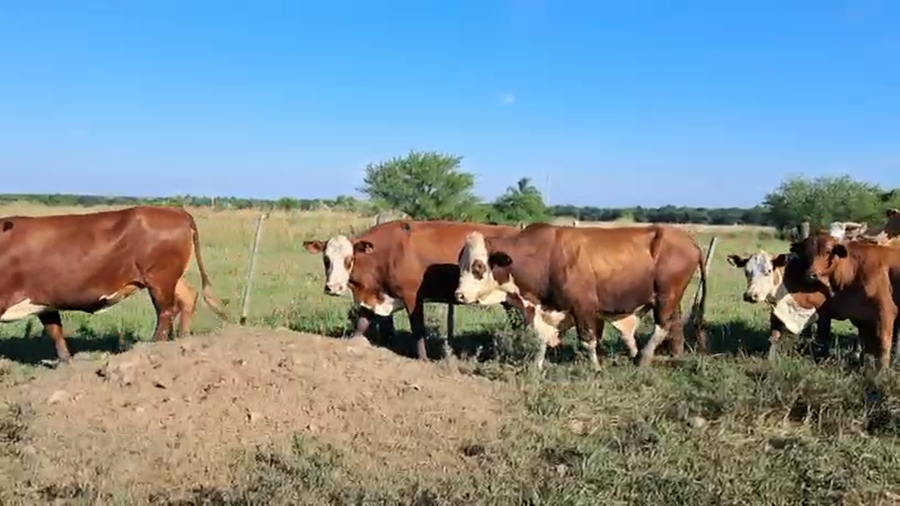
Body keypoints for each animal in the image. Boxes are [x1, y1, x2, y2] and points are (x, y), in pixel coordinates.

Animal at [0, 206, 228, 362]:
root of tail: (176, 211)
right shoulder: (46, 300)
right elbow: (55, 331)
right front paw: (66, 362)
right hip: (171, 278)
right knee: (187, 298)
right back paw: (182, 340)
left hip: (159, 278)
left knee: (166, 311)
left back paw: (153, 347)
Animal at [302, 220, 524, 361]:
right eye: (326, 259)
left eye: (349, 260)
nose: (333, 287)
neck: (387, 253)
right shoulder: (372, 295)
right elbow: (362, 323)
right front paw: (353, 343)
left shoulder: (413, 296)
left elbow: (418, 329)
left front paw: (423, 358)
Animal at [454, 222, 709, 369]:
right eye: (461, 264)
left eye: (478, 266)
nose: (460, 295)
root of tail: (688, 239)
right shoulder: (544, 310)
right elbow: (542, 339)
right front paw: (536, 366)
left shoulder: (583, 307)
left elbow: (588, 340)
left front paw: (595, 368)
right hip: (668, 298)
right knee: (673, 324)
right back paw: (664, 355)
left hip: (667, 295)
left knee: (662, 325)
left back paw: (643, 357)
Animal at [788, 230, 900, 370]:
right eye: (805, 252)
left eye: (828, 251)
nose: (811, 274)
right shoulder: (860, 317)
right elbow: (866, 348)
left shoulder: (885, 312)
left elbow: (883, 344)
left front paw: (882, 371)